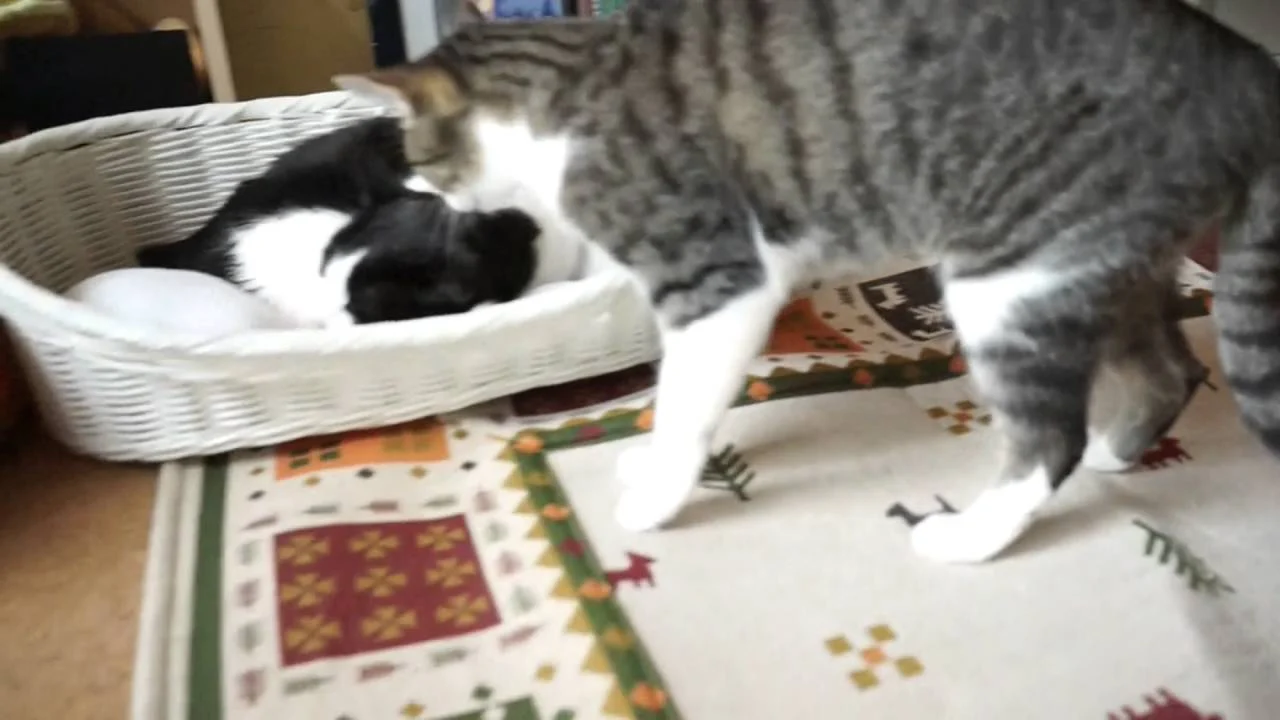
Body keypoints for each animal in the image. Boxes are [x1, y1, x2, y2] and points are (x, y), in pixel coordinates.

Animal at [333, 0, 1280, 563]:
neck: (566, 93)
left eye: (419, 155)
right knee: (1171, 371)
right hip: (1104, 266)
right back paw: (1124, 450)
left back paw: (970, 535)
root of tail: (1250, 72)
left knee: (1051, 440)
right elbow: (678, 408)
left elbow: (683, 405)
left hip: (1008, 277)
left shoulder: (716, 282)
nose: (423, 189)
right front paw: (650, 464)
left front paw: (657, 497)